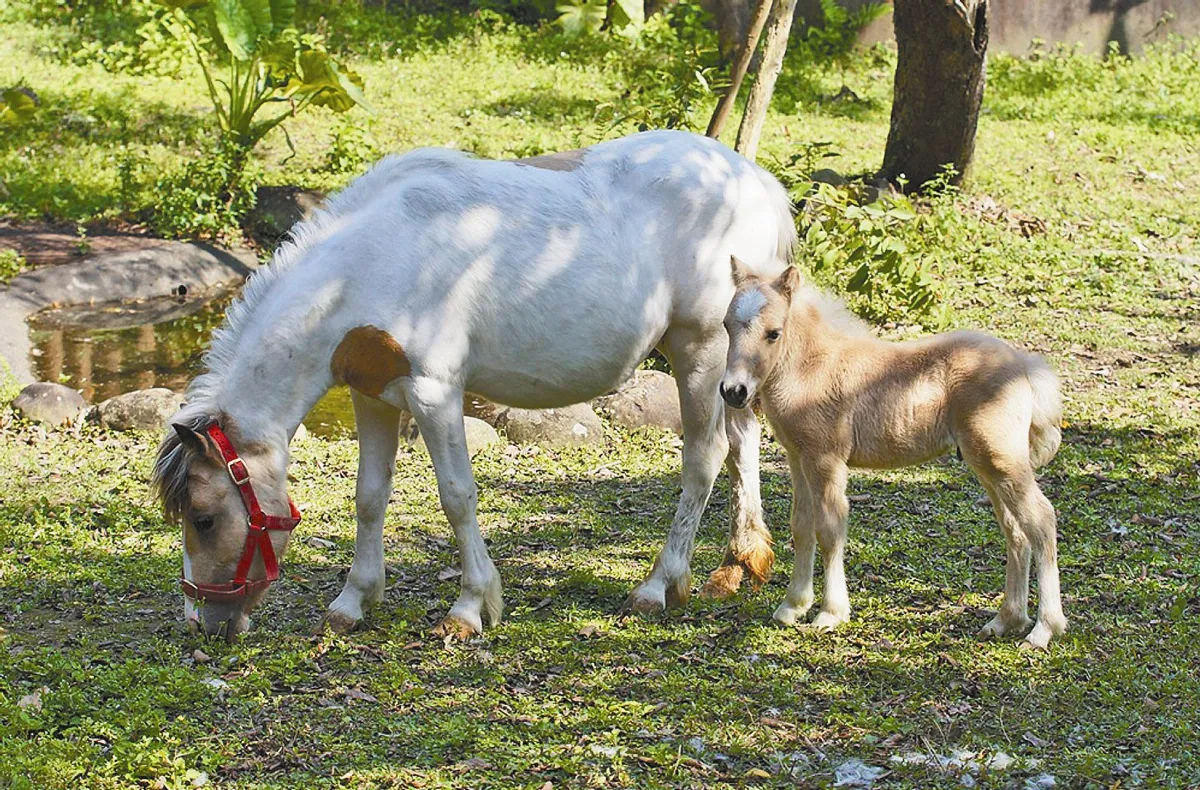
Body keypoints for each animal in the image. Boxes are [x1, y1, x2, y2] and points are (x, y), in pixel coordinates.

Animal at [152, 130, 795, 640]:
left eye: (204, 518)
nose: (203, 623)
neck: (368, 262)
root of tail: (757, 180)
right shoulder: (371, 395)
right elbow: (369, 496)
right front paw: (353, 600)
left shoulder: (435, 393)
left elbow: (457, 496)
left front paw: (469, 608)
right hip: (731, 362)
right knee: (743, 443)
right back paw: (738, 565)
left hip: (699, 351)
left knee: (705, 456)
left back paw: (660, 586)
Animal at [719, 259, 1067, 648]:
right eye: (726, 325)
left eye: (773, 333)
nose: (734, 391)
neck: (812, 368)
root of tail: (1024, 364)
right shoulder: (798, 458)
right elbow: (802, 526)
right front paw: (792, 606)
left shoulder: (826, 459)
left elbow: (830, 529)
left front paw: (830, 614)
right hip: (989, 465)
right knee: (1015, 530)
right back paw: (1006, 620)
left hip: (1002, 461)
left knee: (1041, 520)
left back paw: (1043, 629)